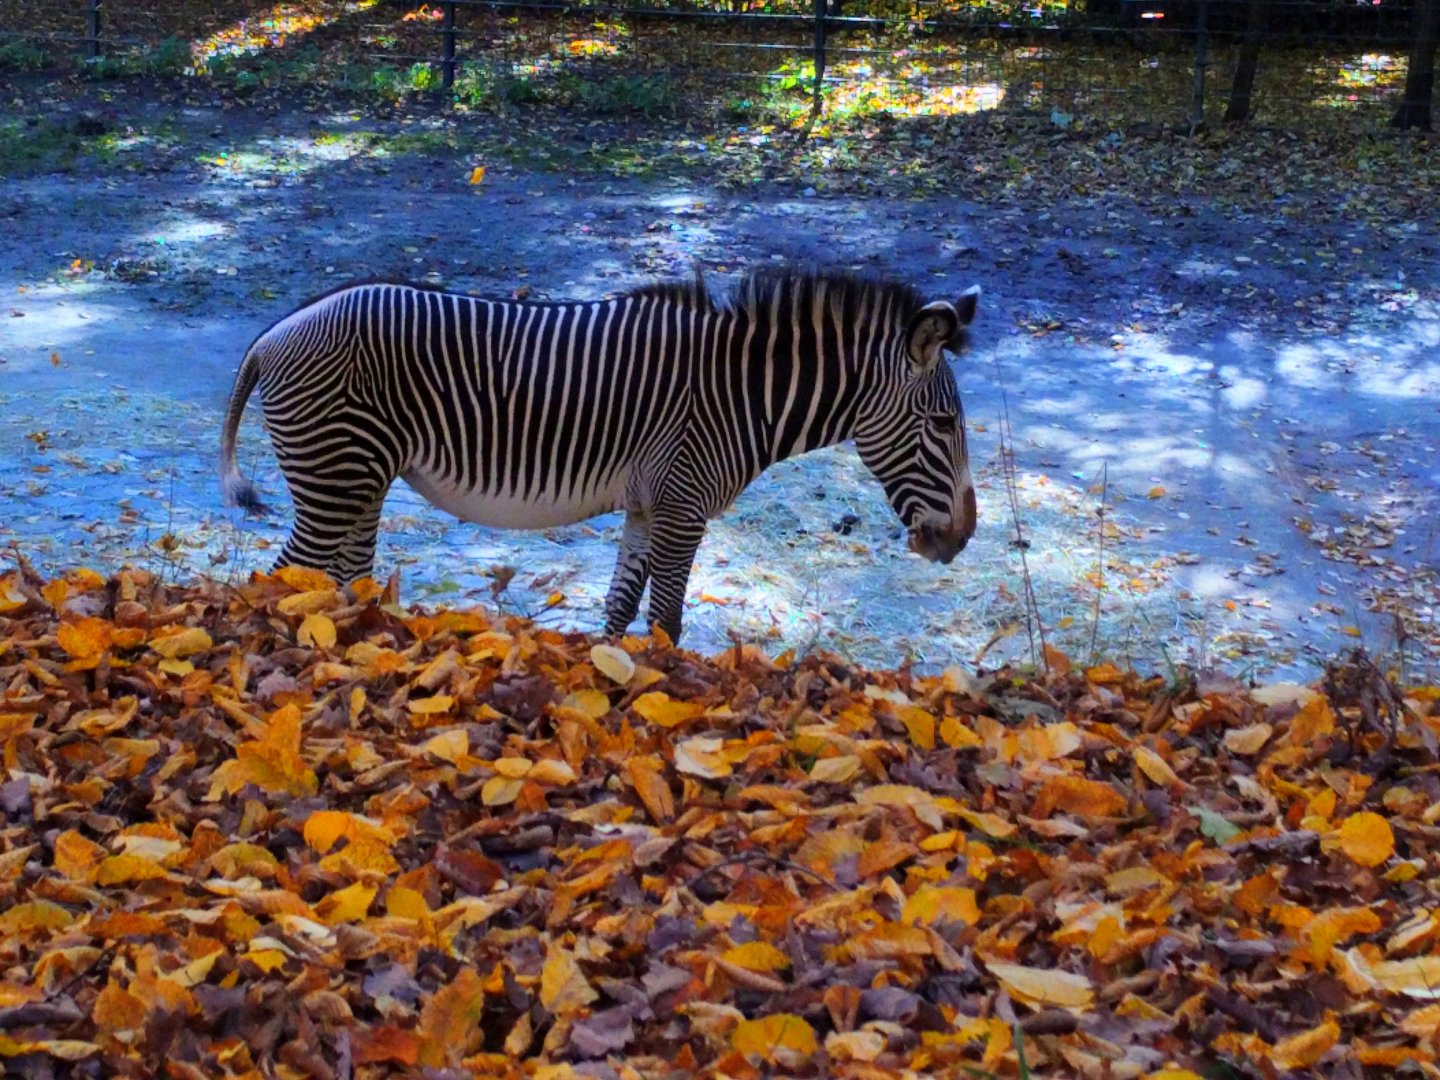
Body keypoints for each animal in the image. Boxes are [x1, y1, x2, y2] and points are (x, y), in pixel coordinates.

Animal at [219, 267, 981, 642]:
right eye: (944, 423)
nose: (964, 538)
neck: (741, 393)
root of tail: (272, 334)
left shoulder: (648, 507)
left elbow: (619, 610)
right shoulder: (682, 507)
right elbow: (666, 619)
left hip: (360, 483)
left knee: (344, 582)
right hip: (336, 480)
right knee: (276, 581)